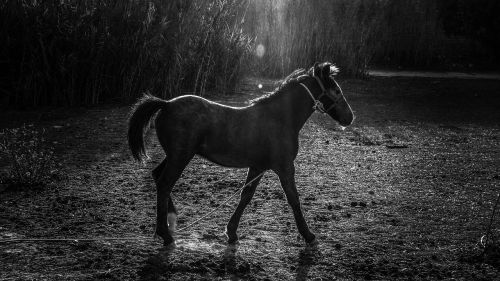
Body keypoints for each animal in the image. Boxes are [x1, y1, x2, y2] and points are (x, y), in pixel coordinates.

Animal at [129, 60, 356, 245]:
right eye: (336, 90)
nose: (350, 117)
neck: (280, 118)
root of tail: (166, 104)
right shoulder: (284, 167)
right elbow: (293, 199)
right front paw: (308, 235)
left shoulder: (258, 166)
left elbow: (246, 196)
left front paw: (231, 232)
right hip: (180, 156)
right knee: (164, 184)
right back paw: (165, 234)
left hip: (175, 155)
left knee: (157, 176)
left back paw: (171, 219)